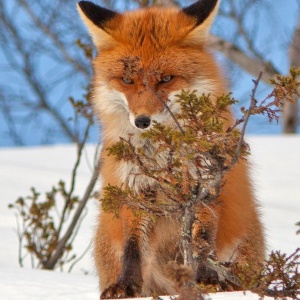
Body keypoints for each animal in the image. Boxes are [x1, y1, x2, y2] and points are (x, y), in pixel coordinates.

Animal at [78, 0, 264, 298]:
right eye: (127, 80)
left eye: (166, 79)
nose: (142, 121)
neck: (163, 158)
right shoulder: (135, 190)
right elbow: (134, 247)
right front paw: (126, 285)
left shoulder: (204, 186)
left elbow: (202, 242)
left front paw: (207, 279)